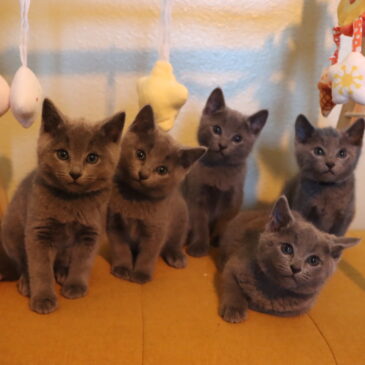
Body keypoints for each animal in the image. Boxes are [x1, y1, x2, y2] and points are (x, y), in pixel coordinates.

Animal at [1, 99, 125, 312]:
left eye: (92, 158)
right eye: (62, 154)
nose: (75, 173)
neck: (71, 202)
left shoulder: (91, 232)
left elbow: (82, 262)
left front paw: (75, 286)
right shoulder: (38, 231)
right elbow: (40, 268)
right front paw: (43, 298)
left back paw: (61, 272)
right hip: (12, 232)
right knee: (23, 262)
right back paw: (27, 282)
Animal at [106, 104, 206, 282]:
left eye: (162, 170)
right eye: (140, 154)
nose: (143, 174)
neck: (135, 198)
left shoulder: (156, 228)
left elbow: (149, 254)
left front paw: (141, 274)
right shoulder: (114, 222)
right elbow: (120, 248)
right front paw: (122, 268)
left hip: (181, 220)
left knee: (176, 241)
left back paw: (176, 256)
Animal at [182, 86, 268, 256]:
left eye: (237, 139)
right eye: (217, 129)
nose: (222, 145)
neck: (220, 169)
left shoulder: (233, 199)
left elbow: (225, 222)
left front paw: (219, 240)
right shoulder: (196, 195)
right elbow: (200, 223)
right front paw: (200, 246)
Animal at [218, 195, 356, 322]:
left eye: (314, 260)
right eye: (287, 249)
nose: (295, 268)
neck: (274, 289)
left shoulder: (302, 307)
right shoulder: (234, 264)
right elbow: (232, 286)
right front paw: (235, 309)